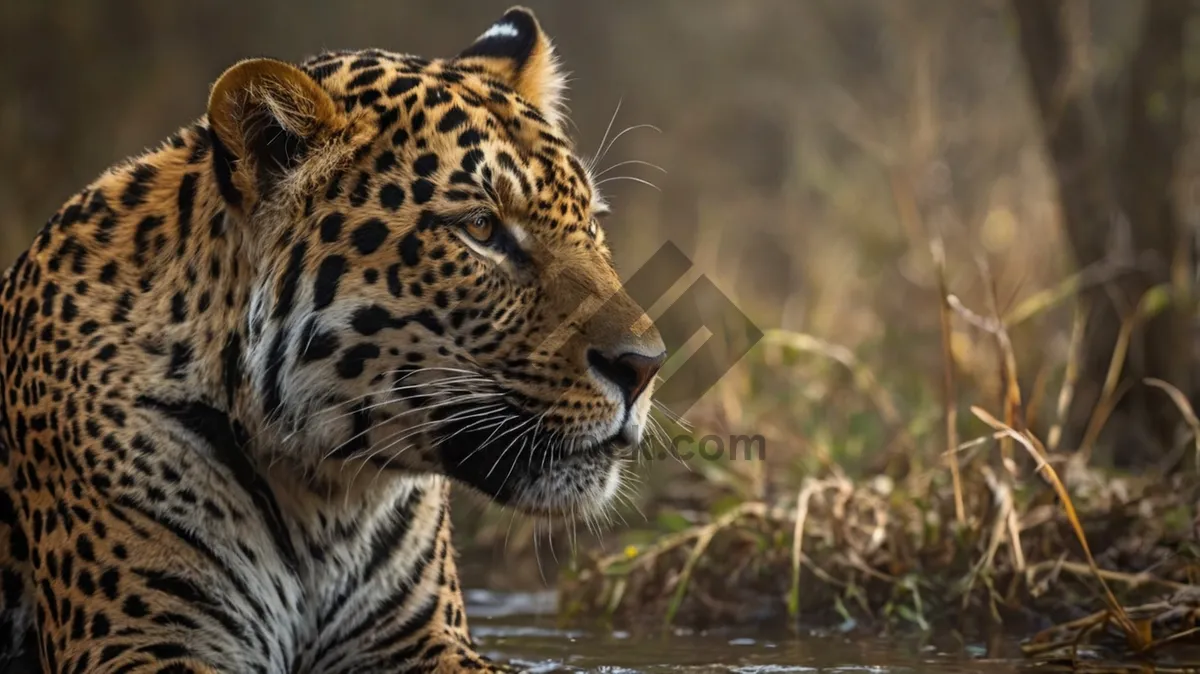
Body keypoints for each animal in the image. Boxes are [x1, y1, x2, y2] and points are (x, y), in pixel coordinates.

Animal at [0, 7, 667, 666]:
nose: (645, 366)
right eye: (481, 228)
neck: (325, 496)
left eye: (590, 223)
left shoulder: (422, 638)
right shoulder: (139, 643)